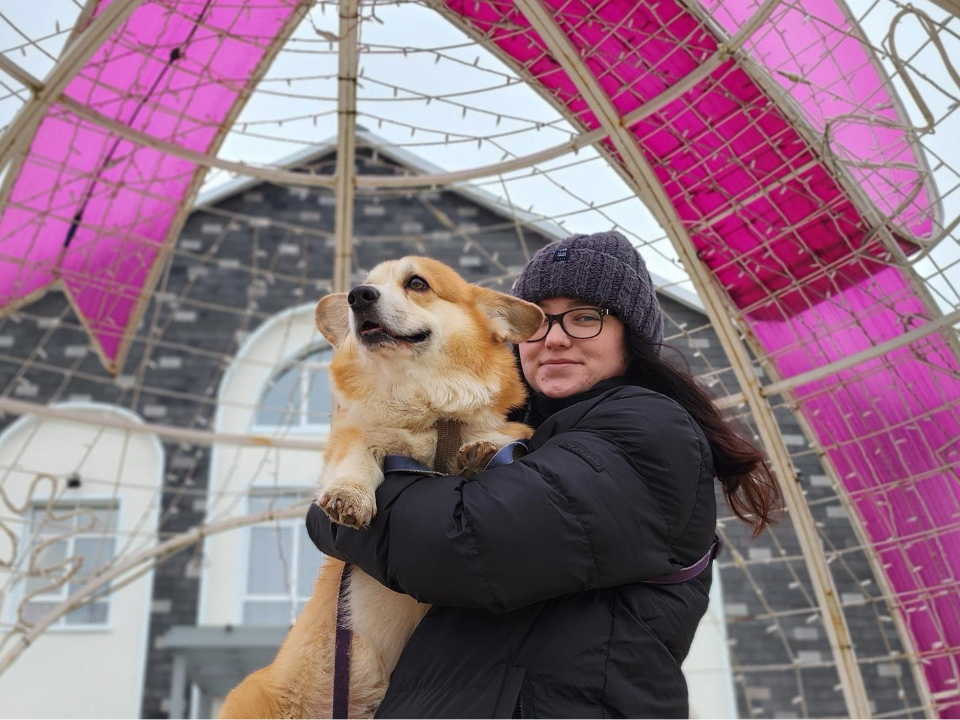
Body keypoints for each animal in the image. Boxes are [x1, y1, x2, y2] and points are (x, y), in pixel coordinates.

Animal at [220, 257, 543, 719]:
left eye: (417, 283)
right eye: (365, 284)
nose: (358, 296)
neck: (429, 414)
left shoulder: (500, 428)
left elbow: (502, 438)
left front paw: (482, 451)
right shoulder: (353, 438)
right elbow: (359, 455)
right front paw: (348, 496)